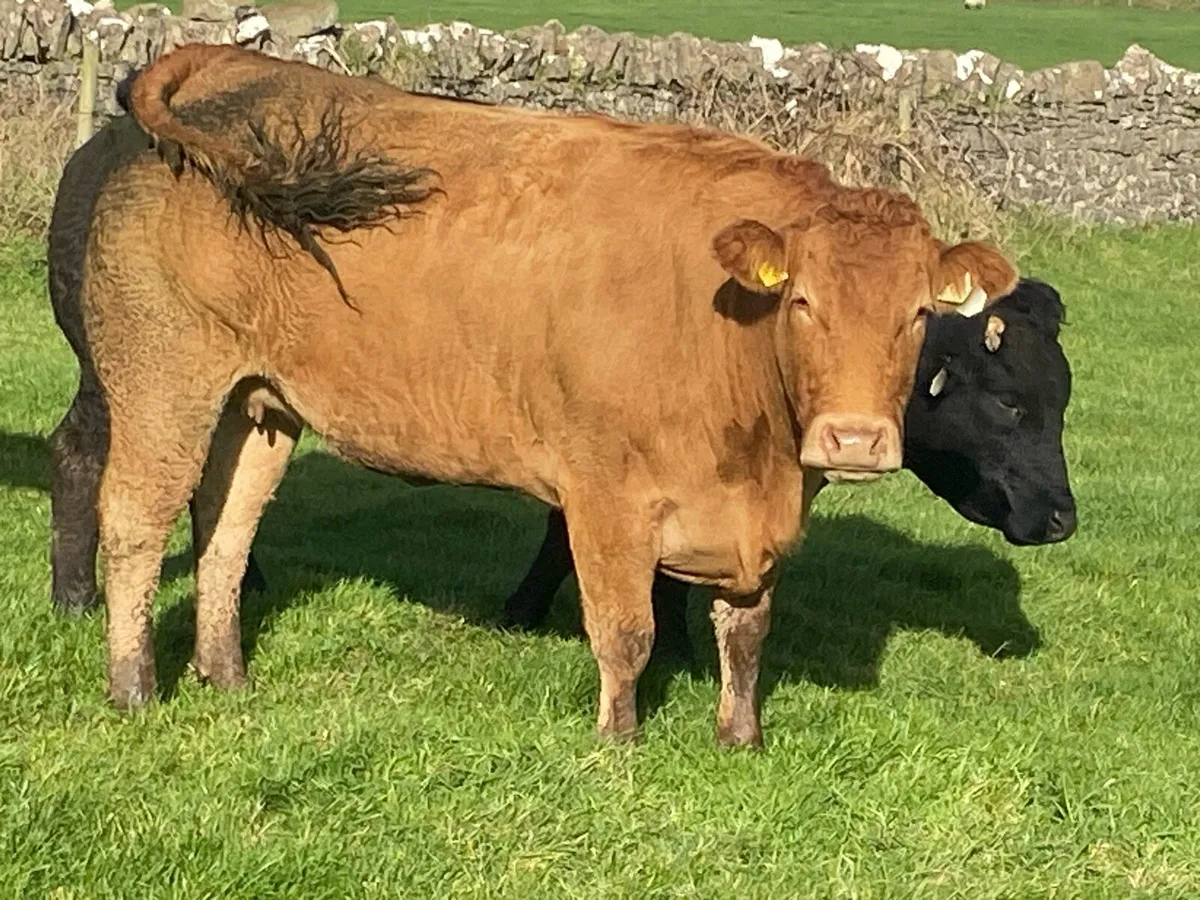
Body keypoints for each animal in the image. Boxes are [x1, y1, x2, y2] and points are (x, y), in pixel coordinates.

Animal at [48, 44, 1017, 745]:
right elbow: (626, 631)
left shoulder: (753, 520)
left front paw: (740, 739)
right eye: (803, 301)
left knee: (227, 530)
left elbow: (745, 635)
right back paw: (134, 689)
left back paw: (226, 675)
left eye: (919, 313)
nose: (854, 440)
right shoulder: (605, 496)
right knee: (134, 522)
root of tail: (223, 66)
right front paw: (618, 742)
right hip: (159, 383)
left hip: (257, 404)